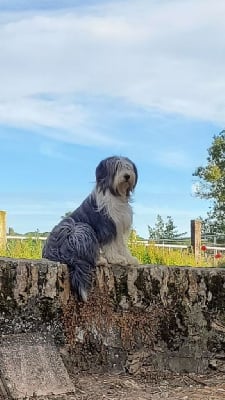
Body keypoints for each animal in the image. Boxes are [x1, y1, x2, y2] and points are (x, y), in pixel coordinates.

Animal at [41, 155, 138, 300]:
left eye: (128, 167)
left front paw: (130, 259)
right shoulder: (107, 226)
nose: (127, 176)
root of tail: (52, 254)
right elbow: (110, 245)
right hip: (77, 228)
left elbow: (122, 246)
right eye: (117, 167)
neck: (115, 195)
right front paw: (117, 259)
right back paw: (100, 260)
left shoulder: (120, 227)